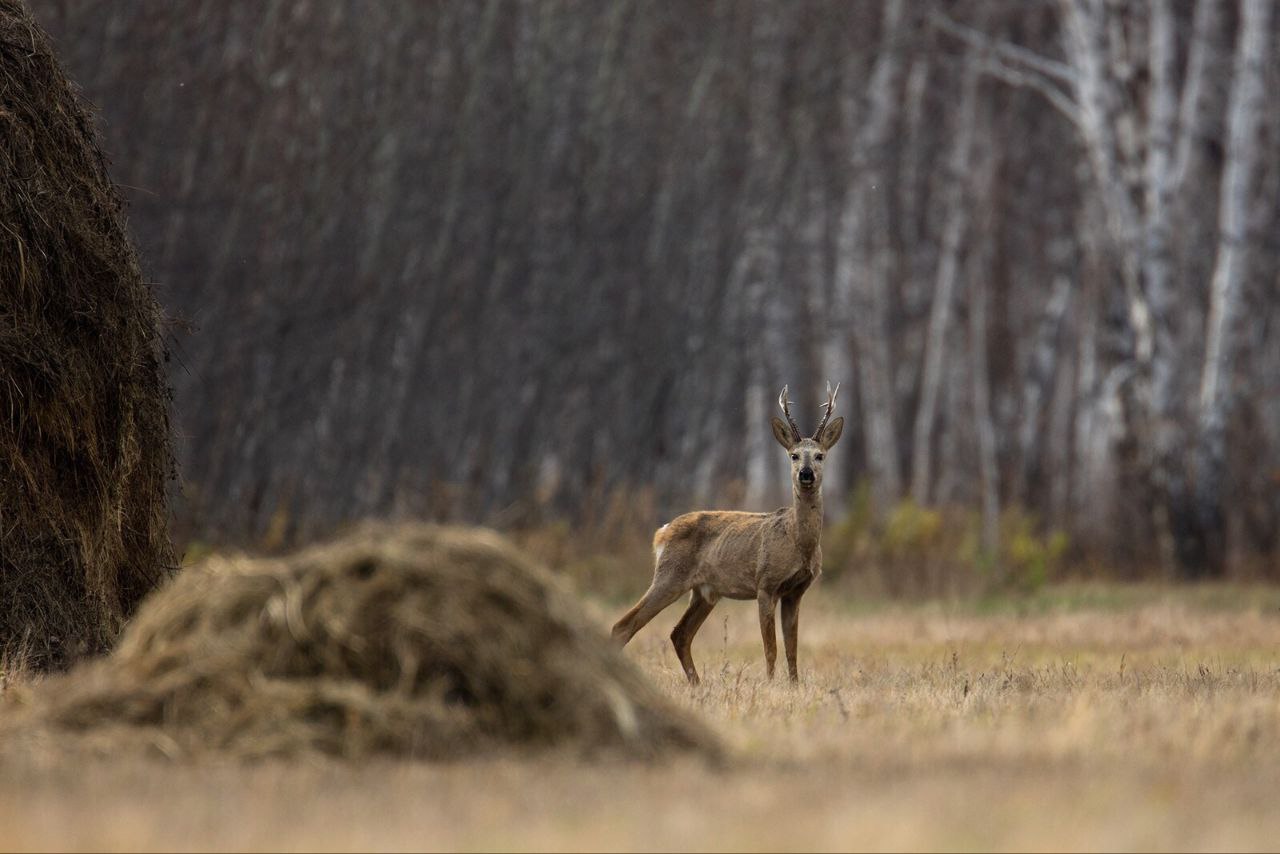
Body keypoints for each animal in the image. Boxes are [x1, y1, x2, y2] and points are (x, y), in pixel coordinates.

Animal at [614, 384, 844, 686]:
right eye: (793, 455)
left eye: (820, 455)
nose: (806, 474)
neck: (798, 542)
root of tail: (661, 533)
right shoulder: (765, 584)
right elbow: (770, 648)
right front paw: (770, 684)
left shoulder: (796, 591)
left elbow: (792, 649)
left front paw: (794, 687)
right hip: (669, 576)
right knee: (624, 625)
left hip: (705, 591)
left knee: (679, 634)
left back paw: (697, 684)